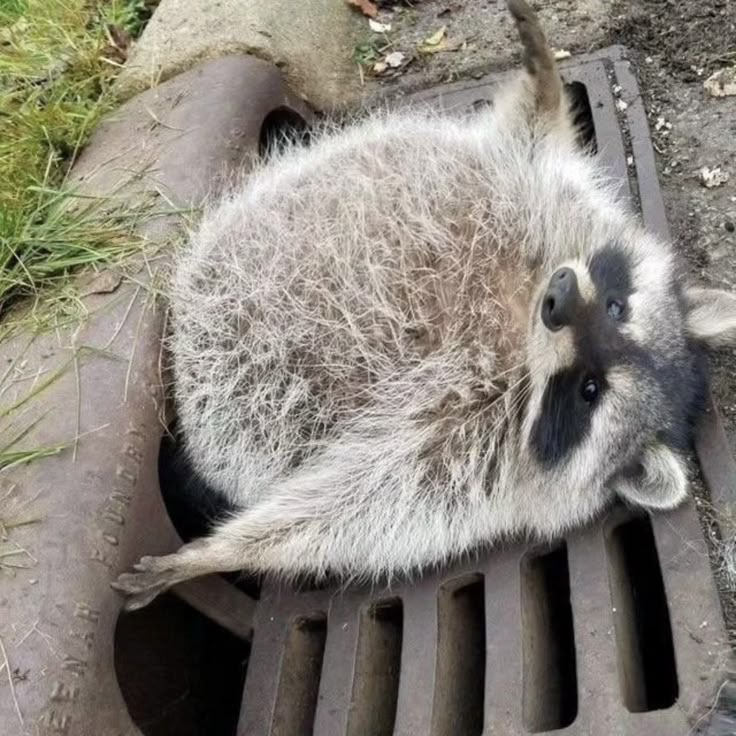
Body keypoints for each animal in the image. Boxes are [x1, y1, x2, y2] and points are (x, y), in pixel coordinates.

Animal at [112, 0, 736, 608]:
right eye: (615, 307)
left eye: (590, 389)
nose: (559, 298)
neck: (519, 332)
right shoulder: (541, 202)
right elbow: (531, 137)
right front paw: (544, 78)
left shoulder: (465, 454)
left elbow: (347, 505)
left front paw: (219, 551)